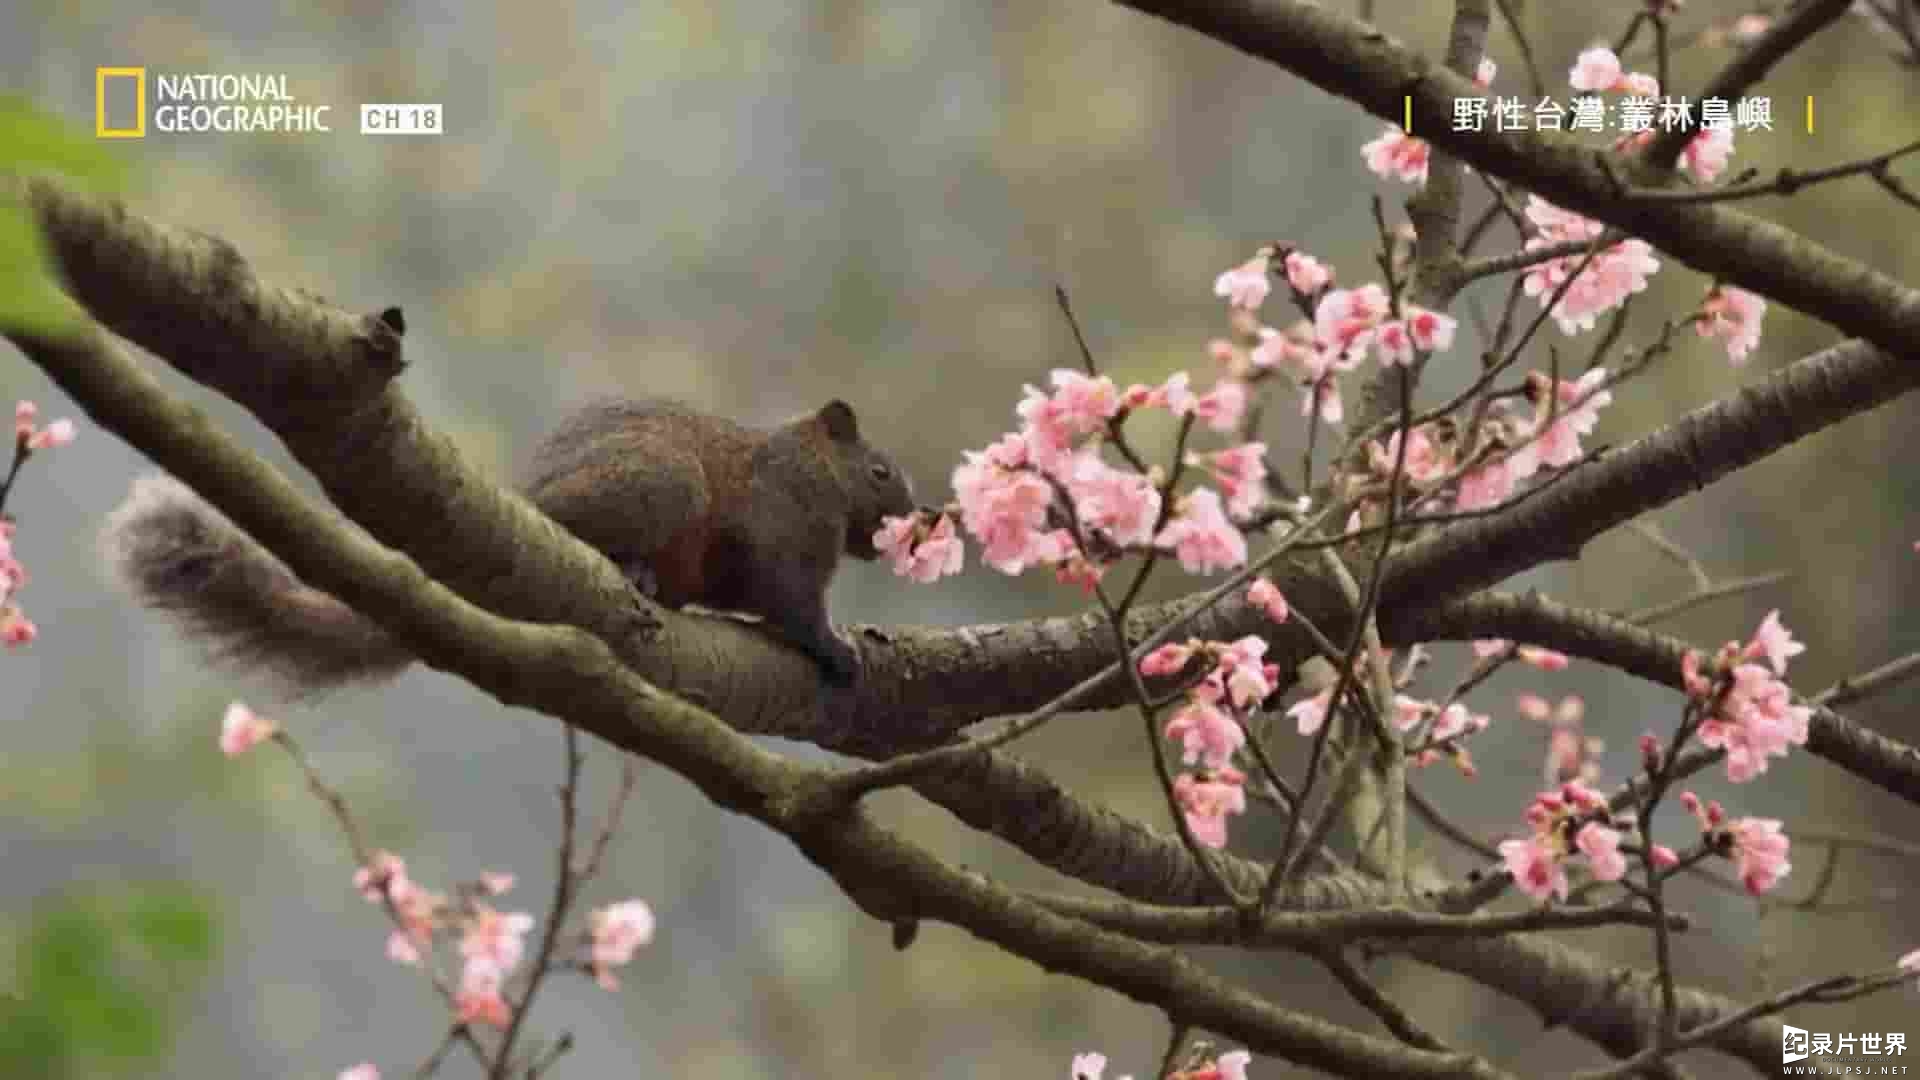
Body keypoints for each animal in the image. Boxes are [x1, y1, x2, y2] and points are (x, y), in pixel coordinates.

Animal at [101, 395, 917, 687]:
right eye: (879, 470)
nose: (918, 519)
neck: (812, 468)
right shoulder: (783, 523)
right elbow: (790, 600)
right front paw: (836, 648)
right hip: (658, 483)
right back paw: (635, 572)